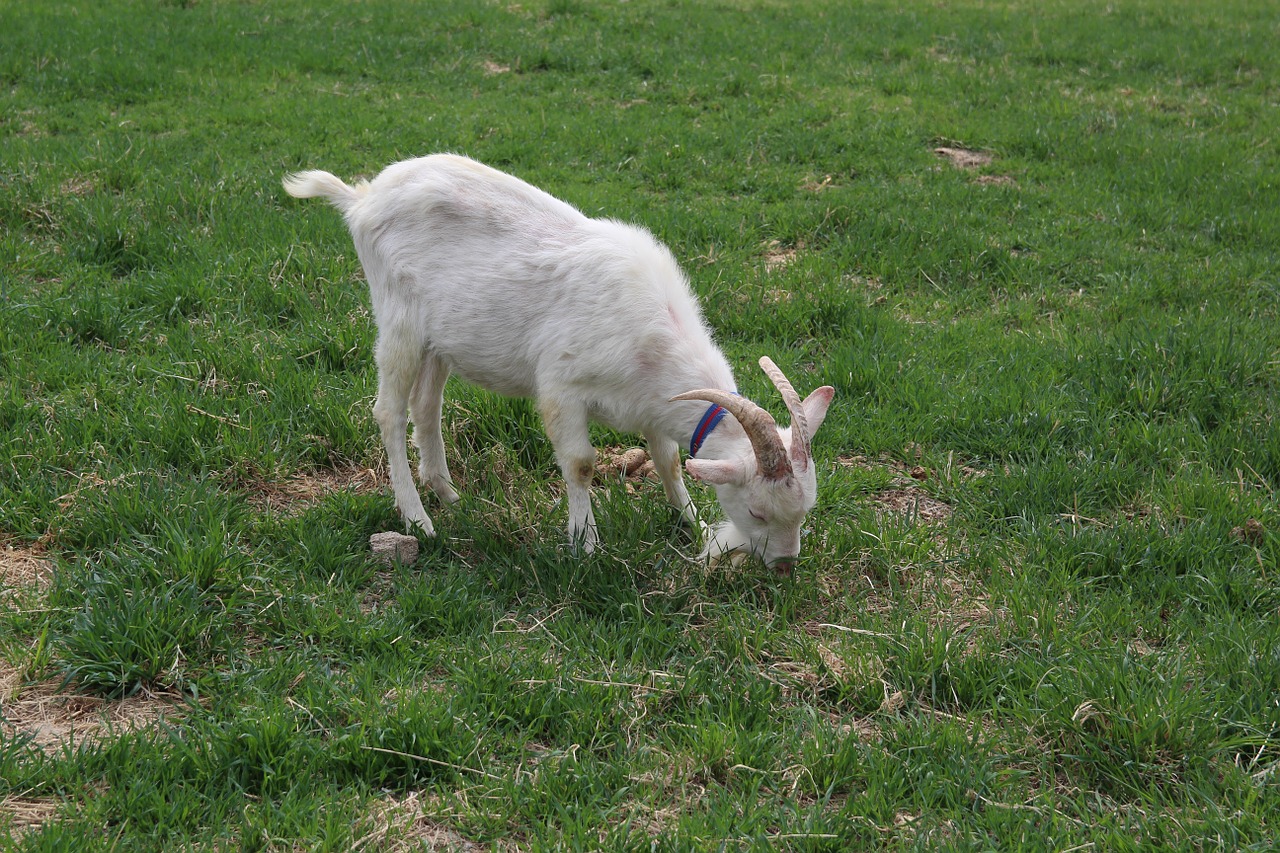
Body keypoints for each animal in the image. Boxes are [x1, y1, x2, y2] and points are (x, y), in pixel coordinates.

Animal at [284, 157, 834, 571]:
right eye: (758, 512)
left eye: (805, 510)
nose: (785, 567)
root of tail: (361, 198)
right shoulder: (562, 388)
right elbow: (581, 464)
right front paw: (586, 545)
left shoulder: (650, 404)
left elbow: (668, 460)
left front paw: (692, 523)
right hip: (398, 321)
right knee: (389, 413)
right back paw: (419, 520)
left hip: (440, 341)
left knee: (427, 408)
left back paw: (450, 495)